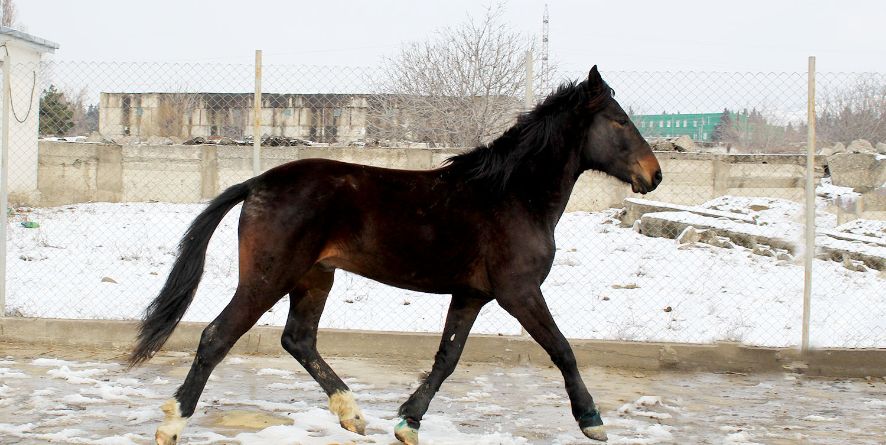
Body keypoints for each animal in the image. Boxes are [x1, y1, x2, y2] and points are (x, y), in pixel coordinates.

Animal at [130, 66, 660, 444]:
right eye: (619, 121)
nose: (653, 176)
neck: (510, 196)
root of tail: (258, 182)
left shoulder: (471, 295)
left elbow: (447, 358)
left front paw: (409, 422)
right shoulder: (519, 291)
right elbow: (562, 349)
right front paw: (592, 419)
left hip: (314, 278)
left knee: (298, 339)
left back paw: (353, 415)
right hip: (268, 277)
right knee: (217, 337)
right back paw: (172, 425)